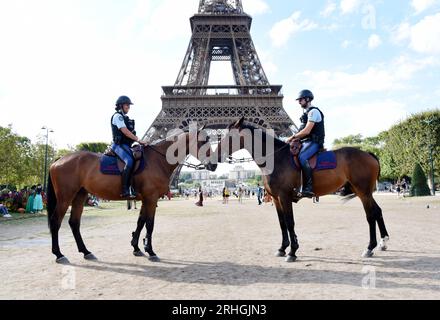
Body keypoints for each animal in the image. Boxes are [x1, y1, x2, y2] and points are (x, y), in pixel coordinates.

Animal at [46, 129, 217, 264]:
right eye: (202, 141)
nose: (214, 165)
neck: (158, 160)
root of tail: (59, 159)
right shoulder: (151, 198)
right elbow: (149, 224)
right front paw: (150, 251)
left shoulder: (146, 200)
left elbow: (140, 222)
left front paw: (136, 247)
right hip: (65, 198)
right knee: (55, 221)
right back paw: (59, 254)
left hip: (79, 196)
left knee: (74, 223)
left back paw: (86, 252)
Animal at [217, 118, 388, 262]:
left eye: (229, 135)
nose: (217, 154)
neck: (277, 158)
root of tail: (368, 153)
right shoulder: (276, 199)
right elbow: (282, 223)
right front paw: (282, 248)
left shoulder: (284, 197)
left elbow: (290, 222)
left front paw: (292, 251)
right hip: (363, 192)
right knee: (377, 211)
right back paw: (383, 242)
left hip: (363, 192)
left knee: (370, 215)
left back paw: (370, 247)